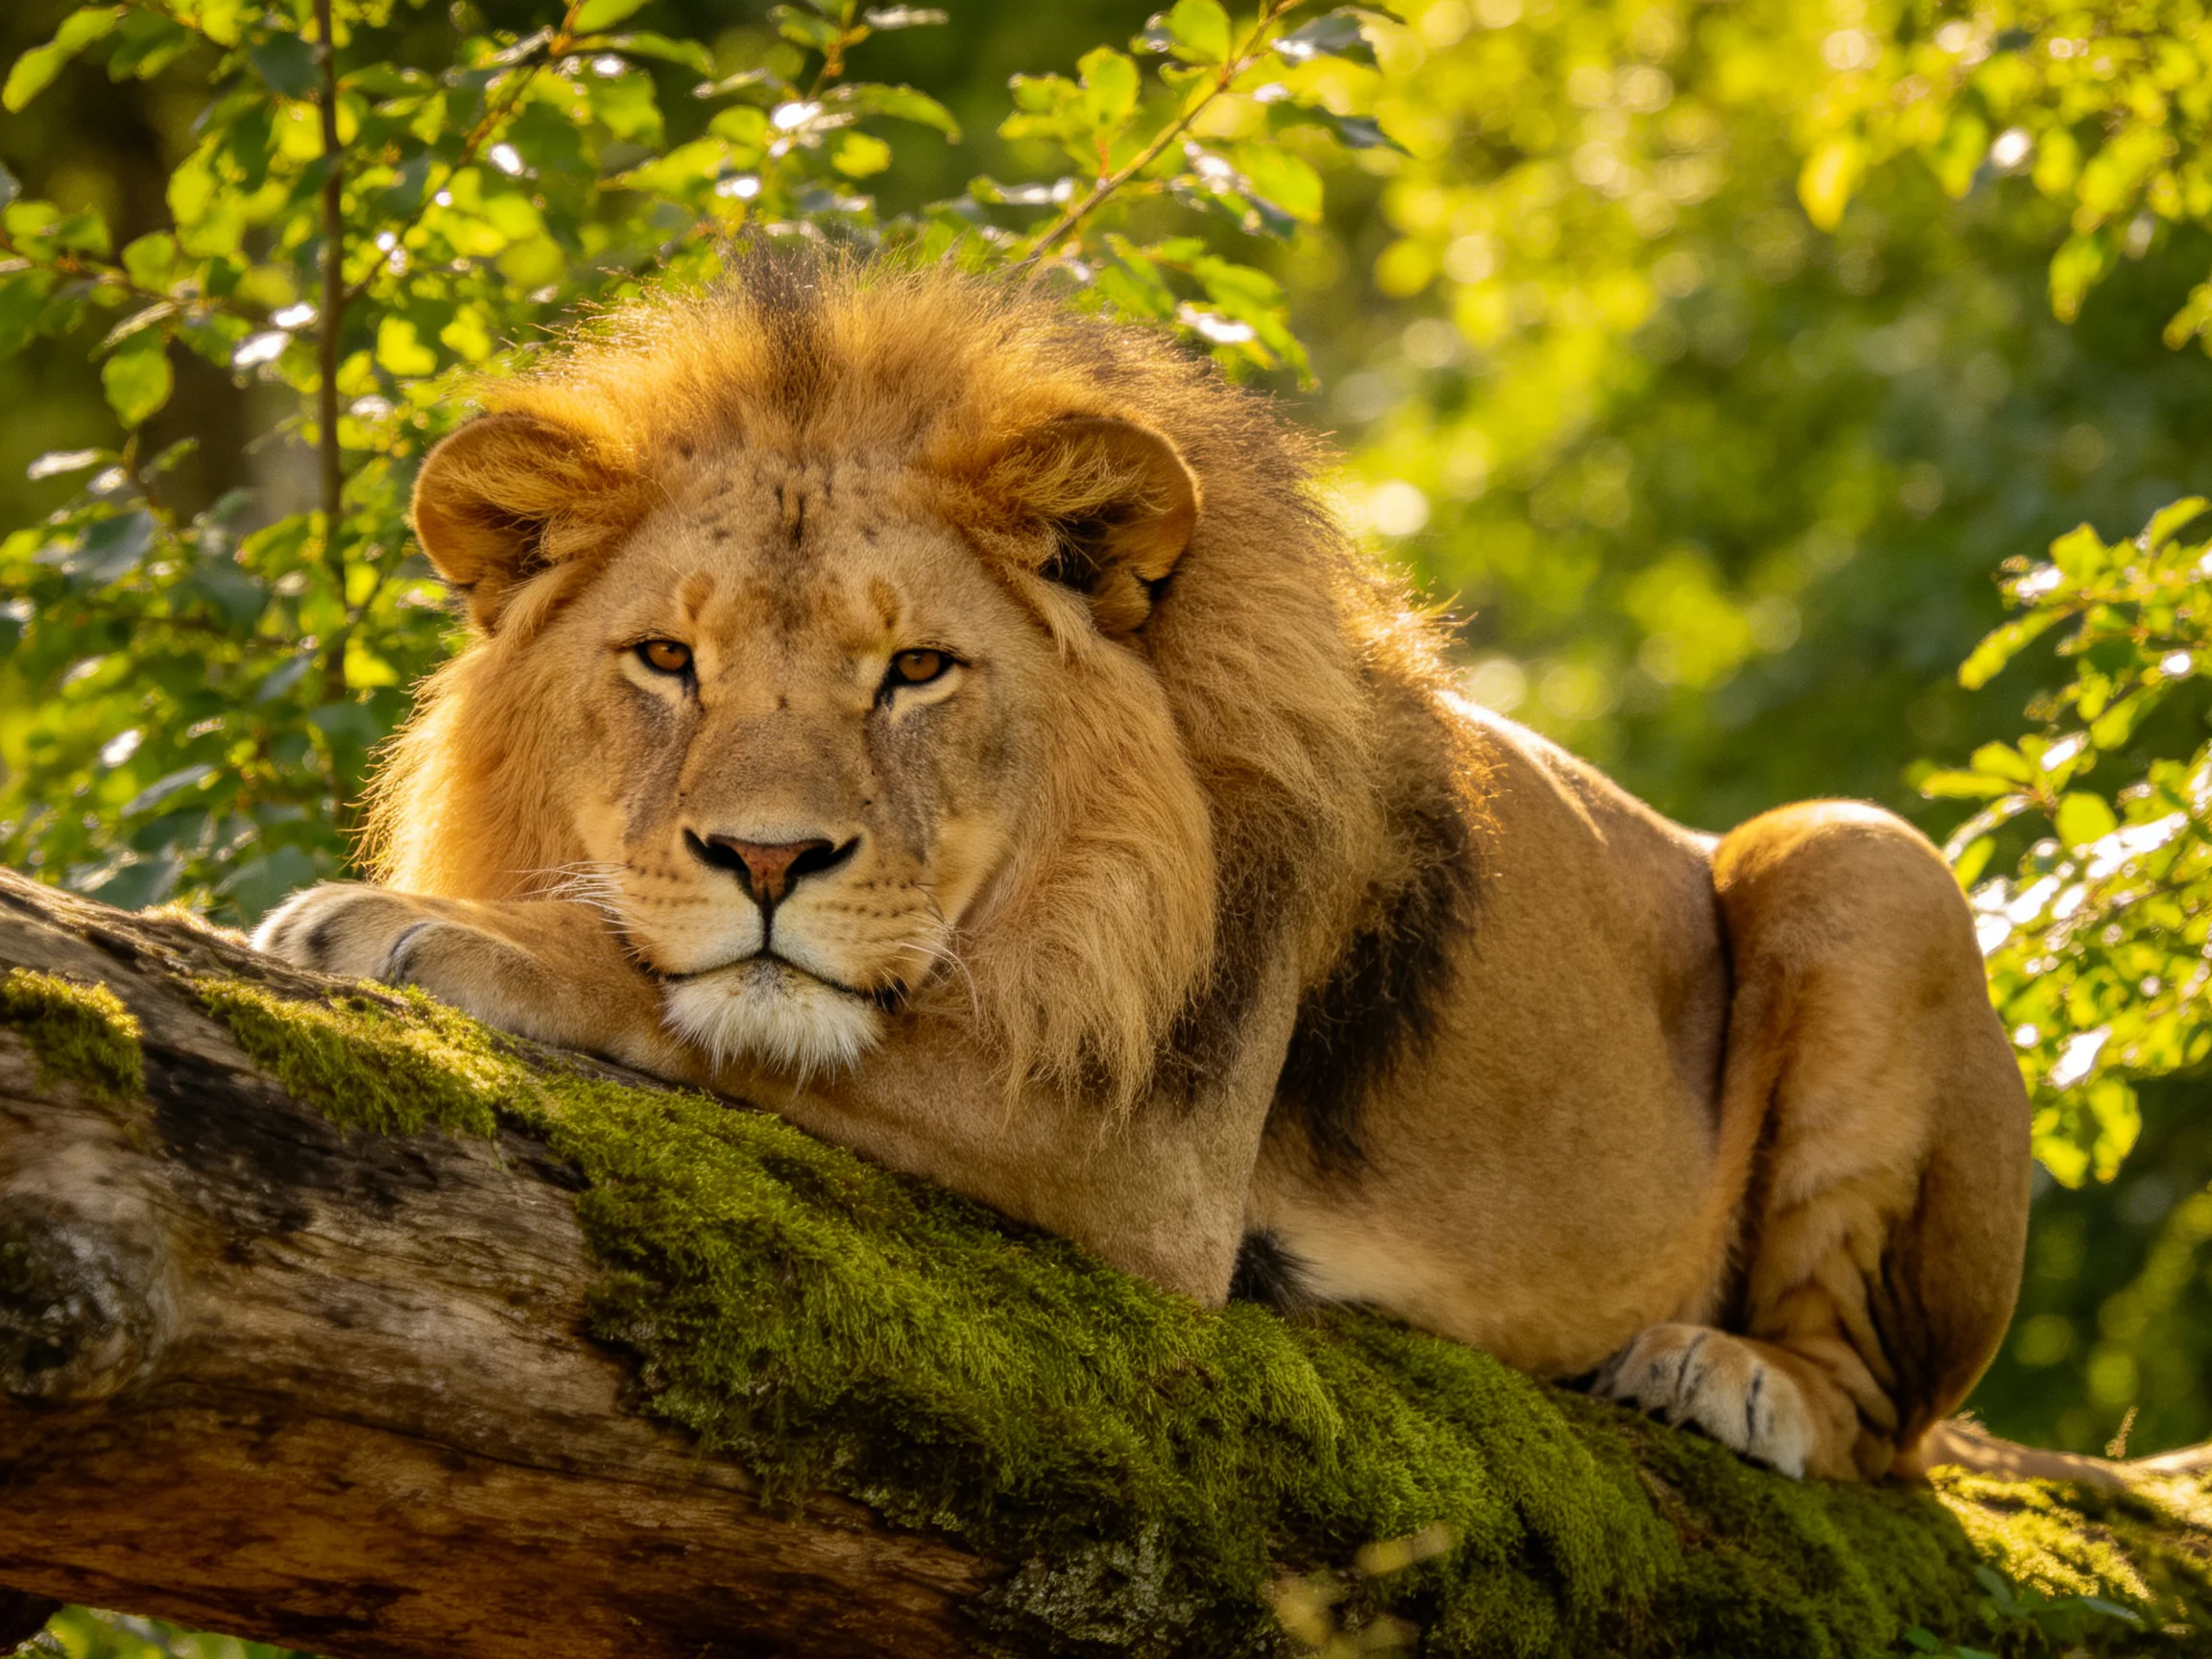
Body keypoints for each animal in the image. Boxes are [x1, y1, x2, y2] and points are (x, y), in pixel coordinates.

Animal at [257, 252, 2031, 1483]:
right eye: (664, 660)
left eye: (916, 671)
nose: (767, 857)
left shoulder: (1149, 1153)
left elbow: (704, 1005)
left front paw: (419, 925)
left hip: (1859, 856)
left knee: (1886, 1431)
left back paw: (1731, 1378)